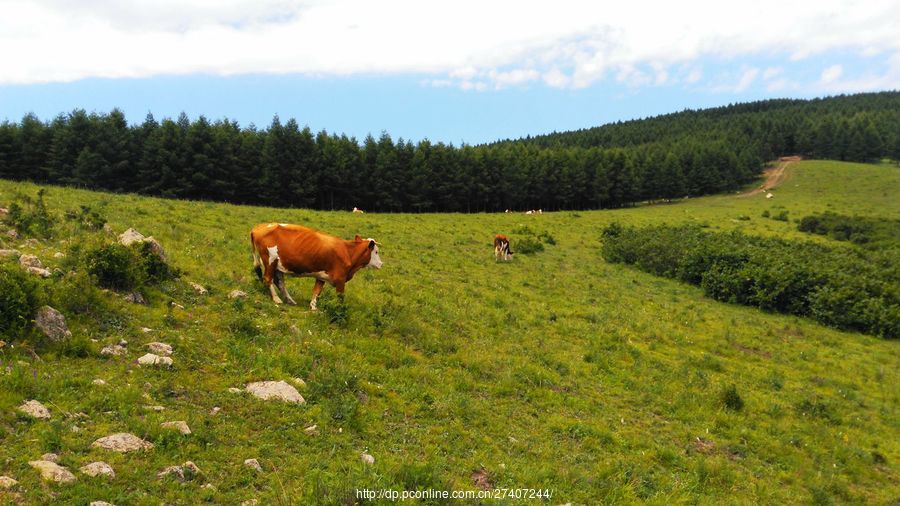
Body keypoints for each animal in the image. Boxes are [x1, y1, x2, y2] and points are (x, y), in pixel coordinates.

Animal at [250, 224, 384, 310]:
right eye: (376, 252)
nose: (381, 264)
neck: (347, 251)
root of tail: (258, 227)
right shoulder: (340, 280)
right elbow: (340, 298)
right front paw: (340, 310)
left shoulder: (322, 276)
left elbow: (316, 291)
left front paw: (313, 307)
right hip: (270, 261)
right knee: (268, 279)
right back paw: (276, 299)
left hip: (278, 264)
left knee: (280, 282)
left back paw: (289, 300)